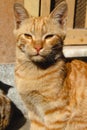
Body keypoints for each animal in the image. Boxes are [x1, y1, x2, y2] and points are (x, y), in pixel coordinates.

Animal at [13, 2, 87, 130]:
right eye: (28, 36)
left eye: (49, 36)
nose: (38, 47)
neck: (32, 73)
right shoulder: (34, 114)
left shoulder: (57, 115)